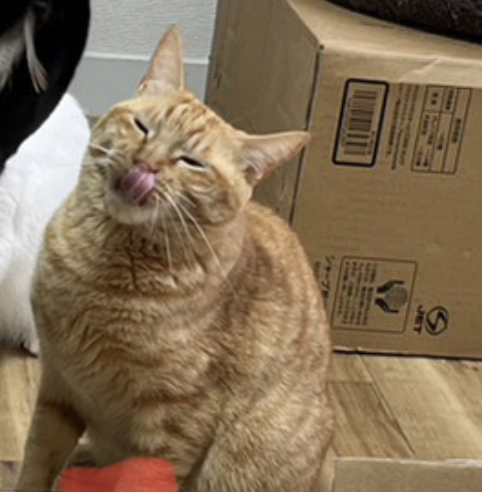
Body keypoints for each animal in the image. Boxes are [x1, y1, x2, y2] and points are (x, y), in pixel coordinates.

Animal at [16, 28, 333, 492]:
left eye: (192, 162)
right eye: (142, 126)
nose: (146, 165)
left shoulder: (173, 428)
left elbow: (139, 479)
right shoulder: (60, 386)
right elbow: (36, 463)